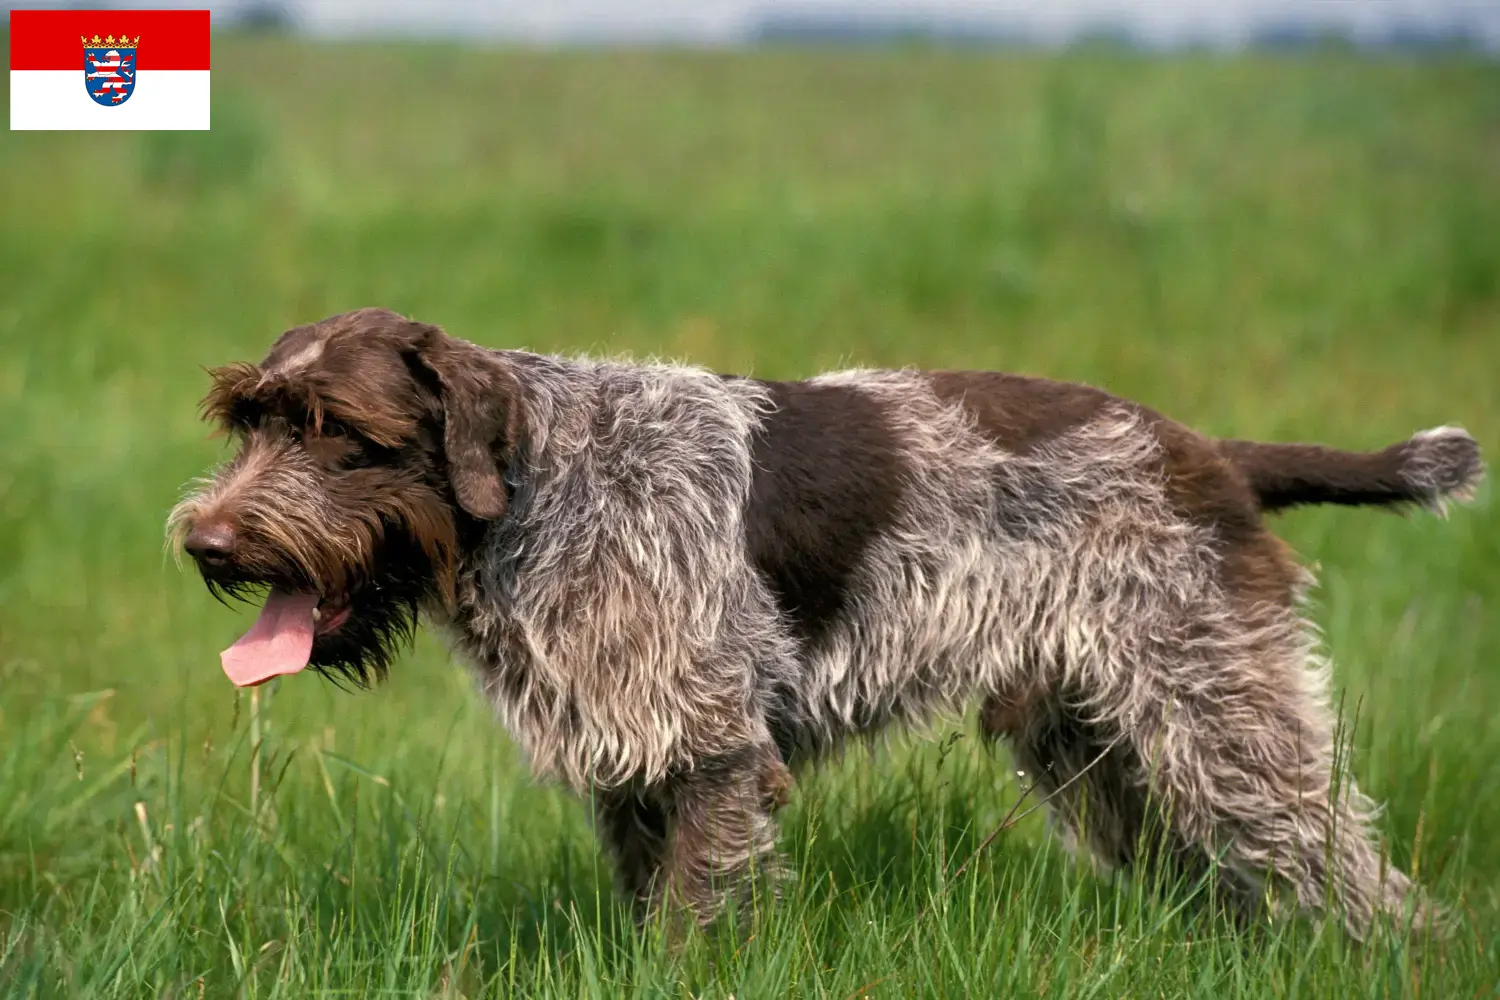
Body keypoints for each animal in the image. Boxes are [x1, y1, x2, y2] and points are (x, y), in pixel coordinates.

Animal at [170, 307, 1482, 941]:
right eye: (251, 419)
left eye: (342, 432)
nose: (208, 545)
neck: (545, 488)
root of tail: (1209, 452)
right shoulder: (637, 765)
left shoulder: (710, 754)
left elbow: (690, 925)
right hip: (1099, 746)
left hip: (1224, 725)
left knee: (1358, 874)